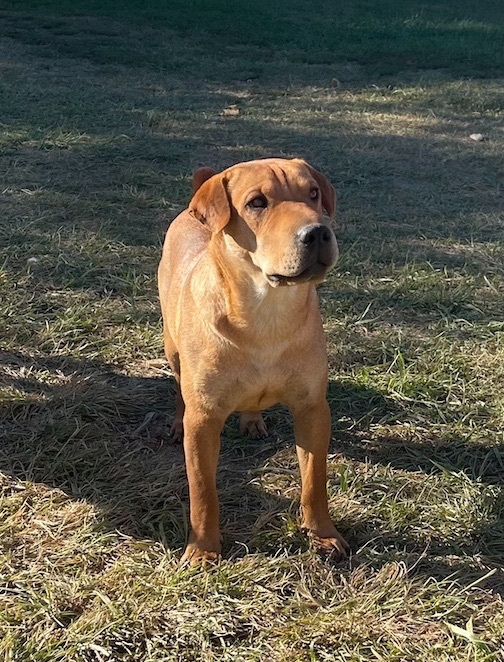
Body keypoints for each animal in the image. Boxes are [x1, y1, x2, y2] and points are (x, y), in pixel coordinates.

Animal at [159, 157, 348, 564]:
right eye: (257, 203)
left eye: (313, 193)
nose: (317, 232)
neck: (266, 314)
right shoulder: (204, 419)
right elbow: (203, 493)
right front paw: (203, 549)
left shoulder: (312, 408)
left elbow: (315, 482)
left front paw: (323, 534)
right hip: (172, 346)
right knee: (179, 388)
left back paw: (252, 418)